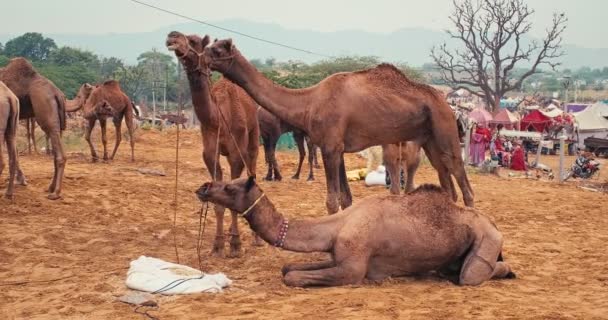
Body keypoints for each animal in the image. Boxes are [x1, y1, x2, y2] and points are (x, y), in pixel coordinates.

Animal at [0, 56, 67, 199]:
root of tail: (57, 94)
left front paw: (20, 180)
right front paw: (21, 180)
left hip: (44, 109)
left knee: (59, 153)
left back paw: (56, 193)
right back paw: (50, 188)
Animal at [166, 31, 262, 258]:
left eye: (193, 40)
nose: (172, 36)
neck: (218, 118)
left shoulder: (236, 153)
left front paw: (235, 245)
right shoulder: (210, 153)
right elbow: (217, 198)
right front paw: (218, 245)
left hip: (253, 136)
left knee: (253, 167)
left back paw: (255, 238)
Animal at [197, 176, 516, 288]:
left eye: (230, 187)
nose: (204, 187)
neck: (338, 224)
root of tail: (494, 225)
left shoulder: (353, 267)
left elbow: (292, 277)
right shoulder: (337, 255)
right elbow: (289, 267)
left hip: (487, 238)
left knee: (471, 275)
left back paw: (506, 271)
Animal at [204, 40, 476, 215]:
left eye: (216, 50)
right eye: (208, 48)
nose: (200, 57)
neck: (308, 102)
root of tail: (447, 103)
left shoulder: (330, 148)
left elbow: (332, 202)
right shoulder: (338, 148)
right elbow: (346, 199)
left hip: (444, 128)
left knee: (462, 180)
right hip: (430, 138)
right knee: (446, 181)